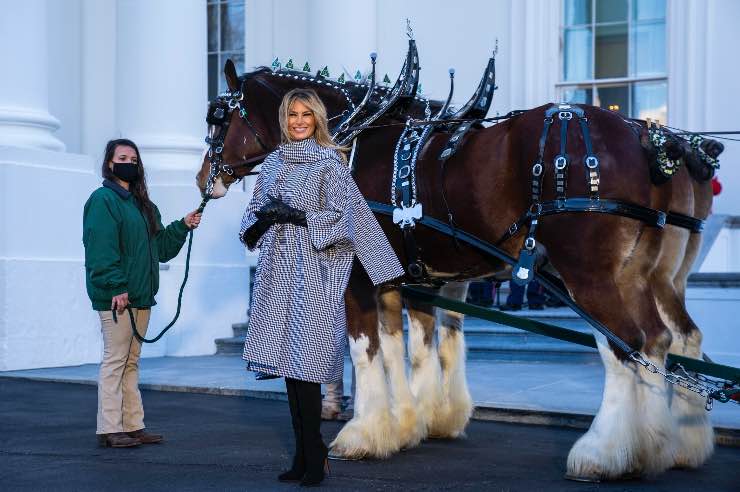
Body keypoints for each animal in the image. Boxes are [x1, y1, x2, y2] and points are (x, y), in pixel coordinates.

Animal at [197, 58, 716, 480]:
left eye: (217, 117)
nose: (204, 177)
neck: (348, 140)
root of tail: (649, 137)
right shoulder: (416, 280)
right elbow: (415, 347)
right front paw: (414, 422)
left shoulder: (362, 278)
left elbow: (368, 351)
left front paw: (363, 433)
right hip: (652, 275)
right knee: (671, 339)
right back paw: (672, 445)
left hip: (589, 273)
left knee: (625, 345)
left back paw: (605, 453)